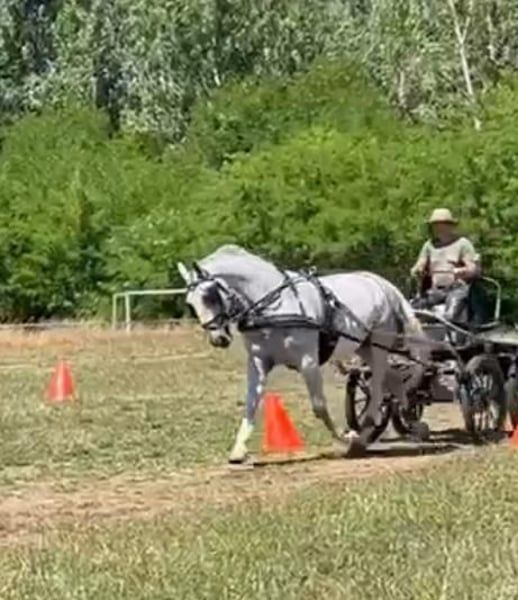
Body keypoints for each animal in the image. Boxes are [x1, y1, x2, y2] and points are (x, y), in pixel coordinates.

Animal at [177, 244, 429, 463]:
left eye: (209, 296)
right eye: (190, 303)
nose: (218, 338)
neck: (276, 306)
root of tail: (380, 283)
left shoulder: (308, 362)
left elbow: (319, 406)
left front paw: (345, 436)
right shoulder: (258, 362)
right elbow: (251, 403)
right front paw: (238, 450)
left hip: (378, 346)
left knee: (378, 390)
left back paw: (363, 437)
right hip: (364, 347)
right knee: (393, 381)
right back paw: (409, 424)